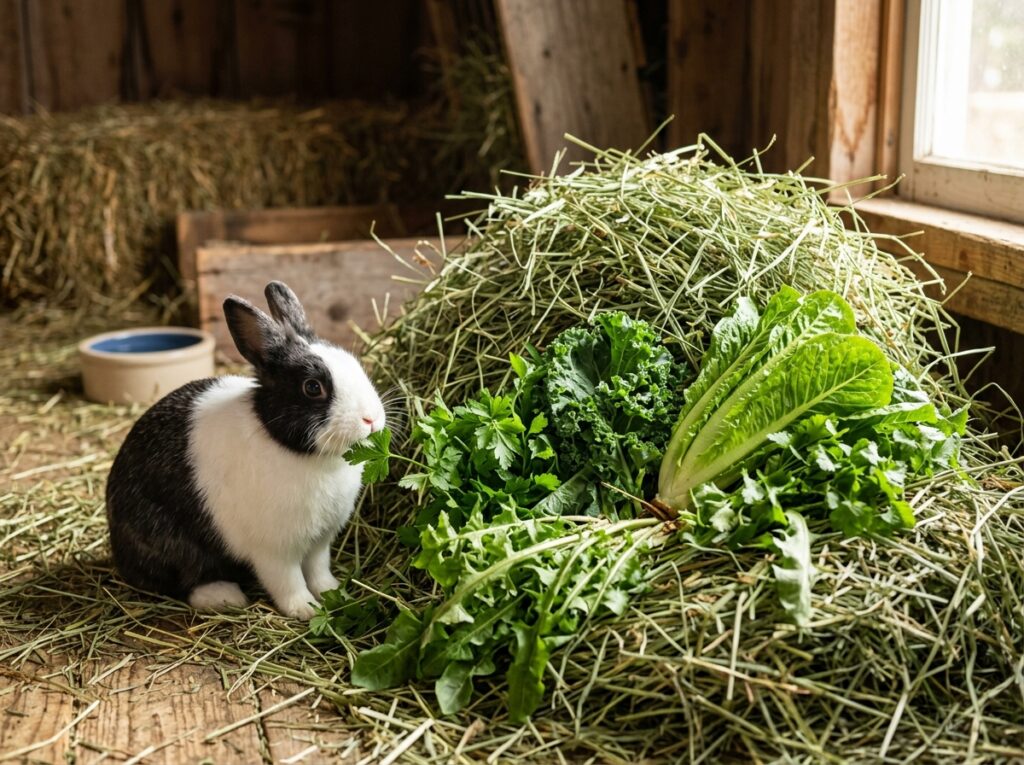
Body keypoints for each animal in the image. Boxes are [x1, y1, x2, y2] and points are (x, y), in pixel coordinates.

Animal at [105, 281, 386, 620]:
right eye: (312, 387)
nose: (371, 419)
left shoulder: (320, 542)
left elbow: (318, 570)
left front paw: (333, 592)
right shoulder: (274, 551)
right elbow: (288, 582)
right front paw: (306, 610)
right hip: (169, 543)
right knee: (182, 581)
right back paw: (224, 596)